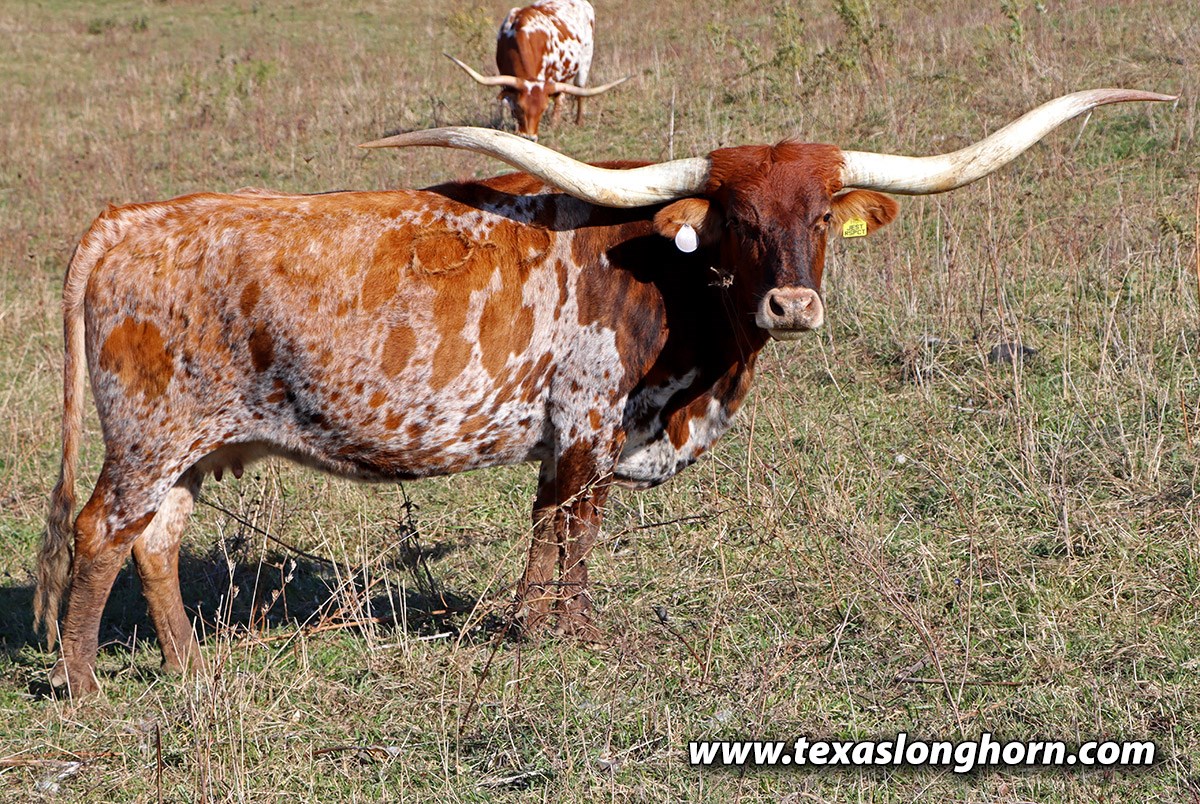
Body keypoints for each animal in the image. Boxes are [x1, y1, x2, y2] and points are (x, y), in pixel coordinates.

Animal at [34, 89, 1172, 696]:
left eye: (817, 217)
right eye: (737, 221)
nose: (793, 304)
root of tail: (127, 219)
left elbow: (568, 529)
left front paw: (553, 625)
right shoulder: (584, 423)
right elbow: (567, 526)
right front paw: (558, 632)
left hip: (193, 446)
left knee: (156, 542)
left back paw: (192, 672)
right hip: (147, 437)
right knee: (99, 534)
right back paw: (85, 687)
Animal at [447, 0, 629, 141]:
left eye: (542, 110)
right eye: (519, 108)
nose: (530, 138)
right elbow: (505, 101)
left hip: (584, 63)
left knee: (578, 92)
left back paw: (574, 122)